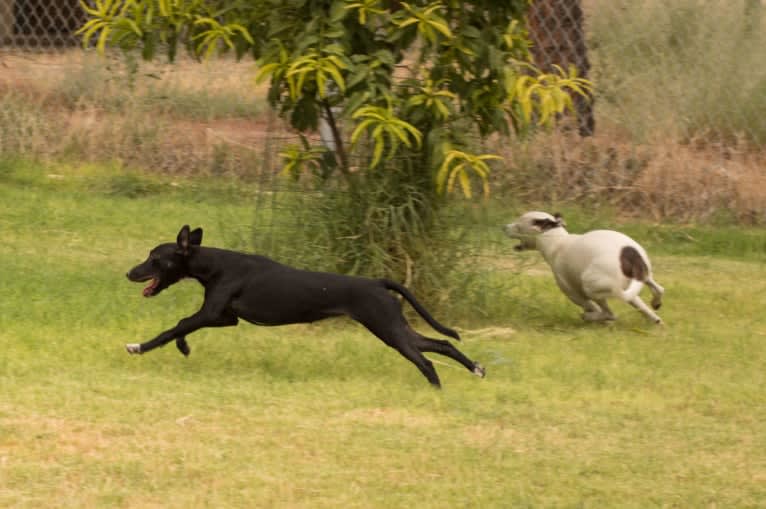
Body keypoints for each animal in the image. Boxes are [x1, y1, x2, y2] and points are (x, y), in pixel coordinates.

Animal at [125, 224, 486, 386]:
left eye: (155, 259)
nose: (129, 273)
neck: (215, 264)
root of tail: (377, 282)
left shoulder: (211, 313)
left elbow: (177, 325)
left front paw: (139, 346)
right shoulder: (225, 318)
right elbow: (182, 327)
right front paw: (183, 347)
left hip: (387, 329)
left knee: (425, 361)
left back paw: (436, 390)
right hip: (395, 326)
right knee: (440, 344)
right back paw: (474, 369)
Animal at [504, 211, 664, 324]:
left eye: (517, 225)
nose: (504, 227)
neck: (557, 241)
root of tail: (629, 254)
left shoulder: (575, 295)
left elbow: (593, 307)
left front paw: (594, 316)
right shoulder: (630, 292)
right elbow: (641, 305)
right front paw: (653, 317)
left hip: (591, 286)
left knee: (610, 314)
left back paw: (589, 317)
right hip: (643, 277)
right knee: (658, 289)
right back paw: (655, 309)